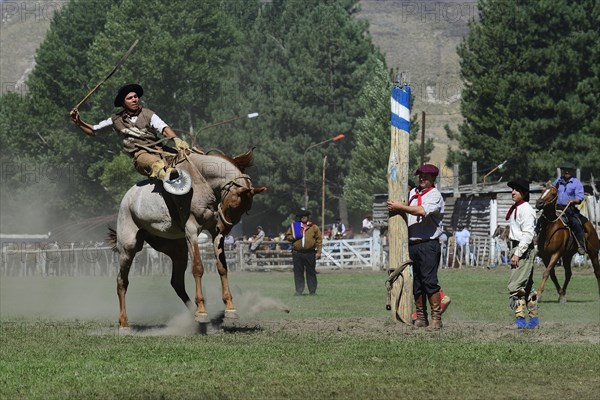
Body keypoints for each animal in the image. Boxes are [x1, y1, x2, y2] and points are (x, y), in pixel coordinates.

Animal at [108, 150, 268, 328]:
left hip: (177, 250)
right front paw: (203, 311)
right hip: (128, 247)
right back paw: (124, 323)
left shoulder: (214, 232)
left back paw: (193, 314)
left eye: (246, 209)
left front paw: (230, 307)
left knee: (177, 282)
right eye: (234, 204)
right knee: (122, 281)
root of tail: (127, 199)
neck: (203, 183)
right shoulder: (191, 230)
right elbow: (198, 267)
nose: (224, 227)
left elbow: (222, 267)